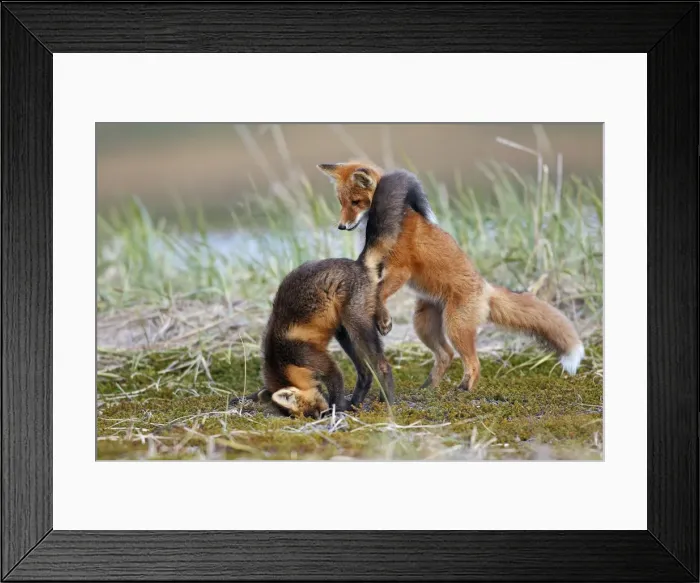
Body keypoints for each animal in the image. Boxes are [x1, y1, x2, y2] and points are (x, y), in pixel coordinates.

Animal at [230, 257, 395, 418]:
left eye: (313, 412)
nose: (320, 415)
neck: (281, 360)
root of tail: (356, 263)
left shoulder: (312, 359)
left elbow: (336, 385)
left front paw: (337, 410)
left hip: (357, 326)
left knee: (382, 366)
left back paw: (386, 403)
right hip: (344, 334)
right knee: (365, 373)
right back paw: (355, 403)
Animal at [317, 161, 585, 393]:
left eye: (356, 202)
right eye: (341, 203)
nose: (341, 226)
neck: (397, 219)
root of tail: (485, 288)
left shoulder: (400, 270)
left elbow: (380, 292)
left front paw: (384, 321)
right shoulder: (380, 268)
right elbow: (375, 291)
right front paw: (381, 318)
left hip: (455, 326)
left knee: (473, 362)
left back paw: (464, 389)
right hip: (424, 324)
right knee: (446, 355)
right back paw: (429, 388)